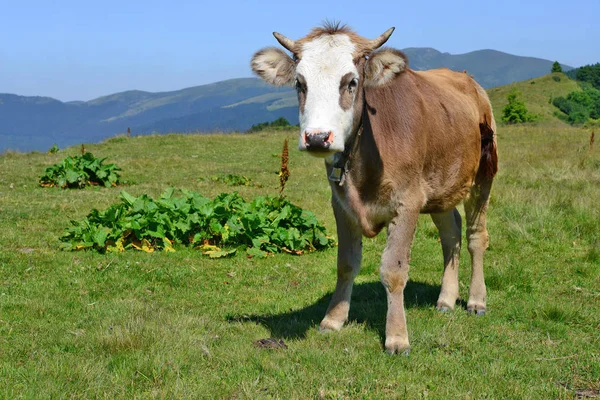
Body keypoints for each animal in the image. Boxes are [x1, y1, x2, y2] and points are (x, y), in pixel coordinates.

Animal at [251, 23, 500, 354]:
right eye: (299, 83)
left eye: (351, 82)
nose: (317, 138)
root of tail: (468, 81)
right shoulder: (341, 203)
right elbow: (345, 264)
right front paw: (333, 319)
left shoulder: (407, 203)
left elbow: (393, 270)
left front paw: (396, 337)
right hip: (440, 186)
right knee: (451, 234)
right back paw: (446, 299)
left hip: (483, 174)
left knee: (475, 236)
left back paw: (476, 300)